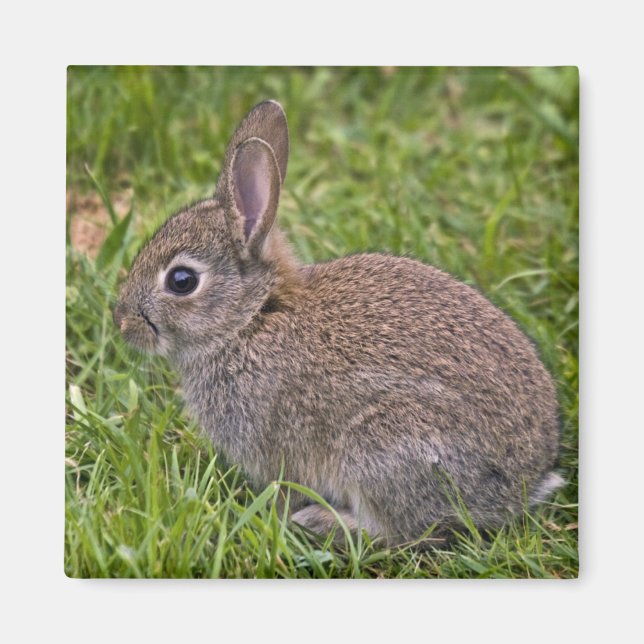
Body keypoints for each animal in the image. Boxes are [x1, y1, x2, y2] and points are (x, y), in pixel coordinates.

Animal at [113, 100, 563, 546]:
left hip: (384, 447)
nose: (122, 322)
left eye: (181, 281)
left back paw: (321, 521)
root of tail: (519, 487)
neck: (250, 318)